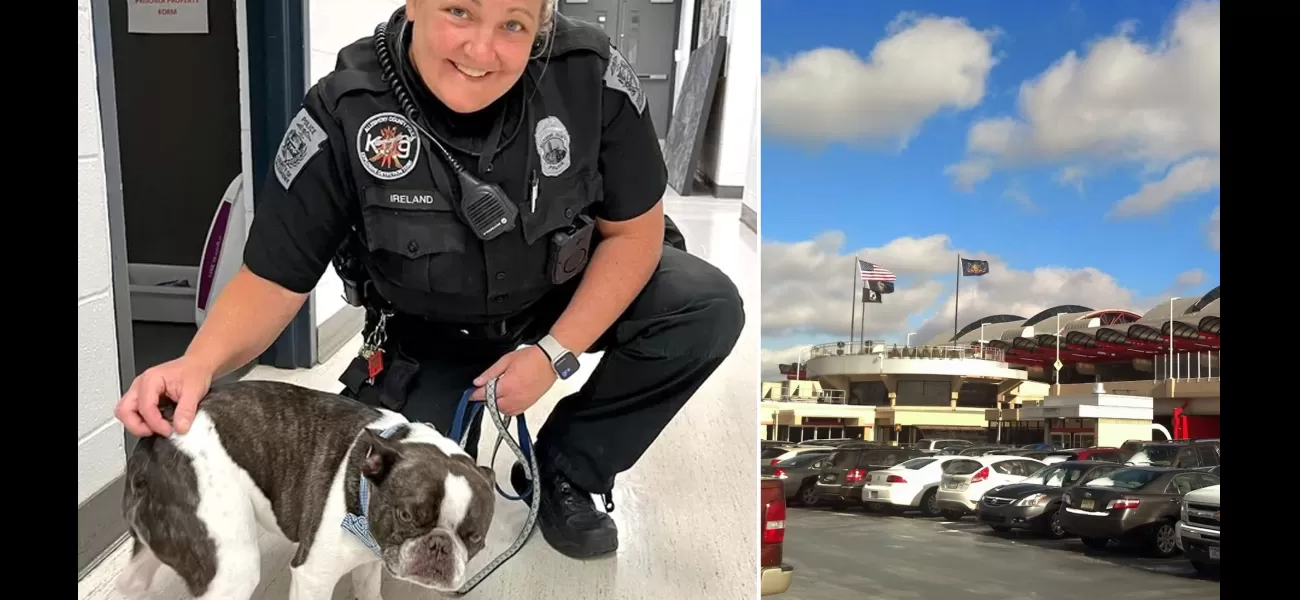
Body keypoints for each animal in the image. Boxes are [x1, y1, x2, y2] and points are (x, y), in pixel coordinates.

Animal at [115, 381, 496, 597]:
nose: (439, 546)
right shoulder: (314, 577)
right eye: (406, 515)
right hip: (230, 568)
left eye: (475, 537)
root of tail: (154, 440)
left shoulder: (368, 565)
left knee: (131, 583)